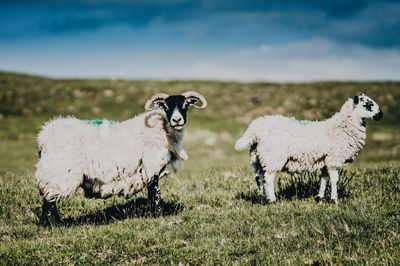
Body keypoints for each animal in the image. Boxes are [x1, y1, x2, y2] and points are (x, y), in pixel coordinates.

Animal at [36, 90, 208, 225]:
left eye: (186, 105)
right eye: (166, 106)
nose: (177, 120)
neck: (162, 130)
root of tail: (43, 137)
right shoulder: (151, 166)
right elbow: (155, 194)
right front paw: (158, 216)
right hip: (59, 173)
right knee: (49, 201)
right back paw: (54, 224)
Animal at [236, 93, 382, 204]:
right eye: (368, 105)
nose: (381, 115)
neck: (341, 128)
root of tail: (256, 128)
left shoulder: (325, 160)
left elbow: (324, 179)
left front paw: (319, 198)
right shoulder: (334, 159)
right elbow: (334, 180)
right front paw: (334, 200)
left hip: (257, 157)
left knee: (259, 177)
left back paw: (263, 198)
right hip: (273, 156)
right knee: (268, 178)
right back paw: (272, 200)